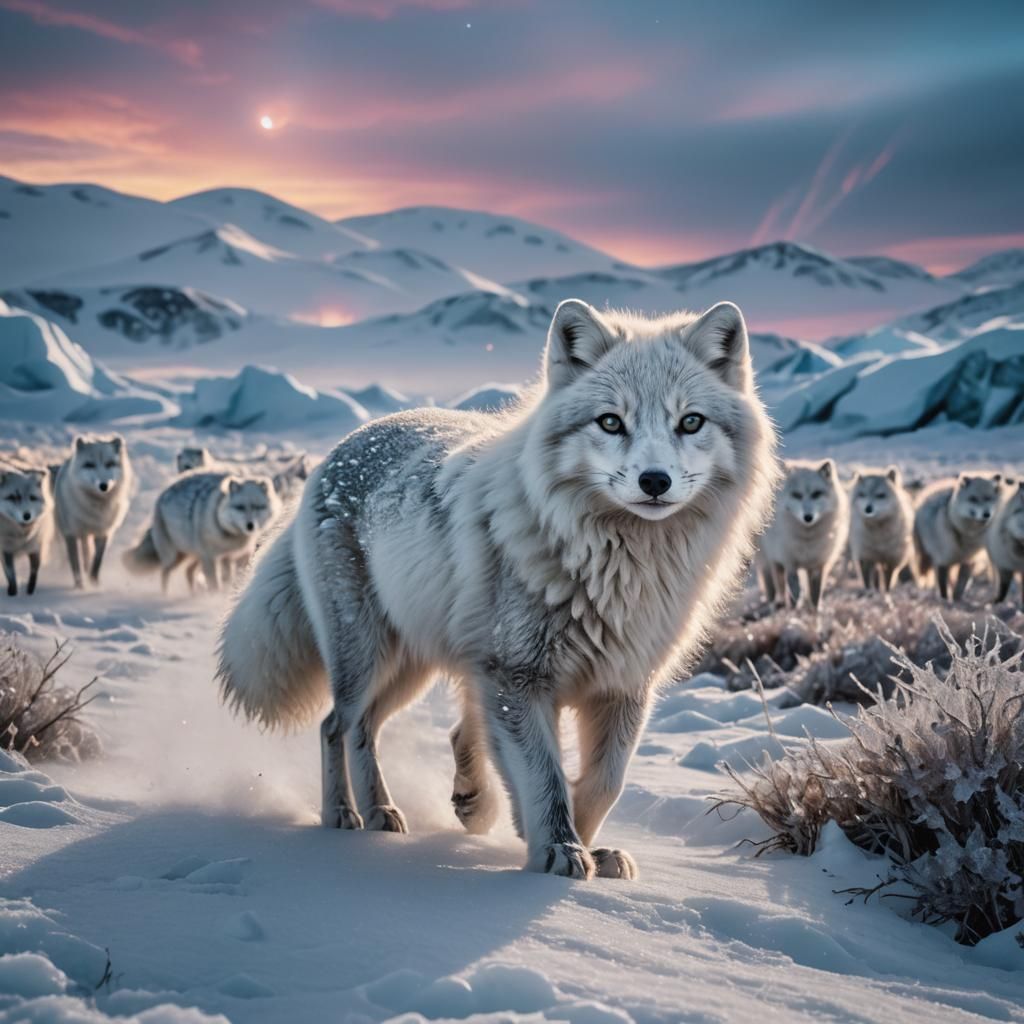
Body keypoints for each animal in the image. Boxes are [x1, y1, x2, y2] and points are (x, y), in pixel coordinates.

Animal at [0, 465, 53, 596]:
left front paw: (30, 592)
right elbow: (10, 574)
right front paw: (13, 593)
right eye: (13, 497)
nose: (27, 516)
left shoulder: (35, 547)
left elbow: (34, 571)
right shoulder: (5, 550)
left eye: (32, 498)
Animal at [51, 435, 132, 588]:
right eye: (90, 465)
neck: (95, 507)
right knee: (68, 557)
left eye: (109, 464)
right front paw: (79, 587)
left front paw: (94, 583)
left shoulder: (102, 533)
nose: (103, 486)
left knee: (87, 555)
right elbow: (75, 565)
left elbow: (97, 561)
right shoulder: (71, 534)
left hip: (87, 535)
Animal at [123, 472, 279, 592]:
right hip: (175, 557)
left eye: (258, 507)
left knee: (188, 572)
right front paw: (215, 596)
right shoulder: (212, 558)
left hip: (193, 557)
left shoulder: (238, 556)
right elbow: (216, 583)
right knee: (165, 573)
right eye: (240, 507)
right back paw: (166, 595)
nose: (250, 525)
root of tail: (162, 495)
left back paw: (193, 595)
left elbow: (233, 577)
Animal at [217, 300, 778, 879]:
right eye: (610, 421)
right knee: (335, 725)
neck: (619, 570)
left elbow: (604, 784)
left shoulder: (623, 686)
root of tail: (336, 453)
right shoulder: (517, 677)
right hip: (367, 657)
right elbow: (546, 779)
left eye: (690, 422)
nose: (654, 481)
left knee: (369, 730)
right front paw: (557, 849)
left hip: (410, 668)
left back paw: (389, 811)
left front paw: (584, 846)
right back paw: (343, 815)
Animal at [757, 459, 849, 609]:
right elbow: (793, 580)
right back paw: (777, 602)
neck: (808, 538)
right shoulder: (788, 558)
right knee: (775, 582)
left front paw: (815, 610)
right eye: (797, 495)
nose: (808, 517)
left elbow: (816, 592)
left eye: (816, 494)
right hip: (769, 557)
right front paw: (796, 599)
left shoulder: (819, 564)